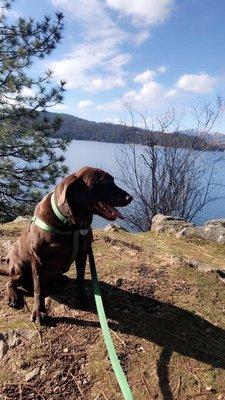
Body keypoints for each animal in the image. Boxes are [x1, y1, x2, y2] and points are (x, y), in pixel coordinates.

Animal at [1, 167, 132, 324]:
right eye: (104, 182)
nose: (130, 198)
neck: (70, 224)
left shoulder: (82, 254)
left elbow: (80, 279)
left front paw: (81, 298)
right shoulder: (38, 260)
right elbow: (38, 288)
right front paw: (39, 311)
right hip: (20, 267)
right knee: (11, 282)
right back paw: (13, 296)